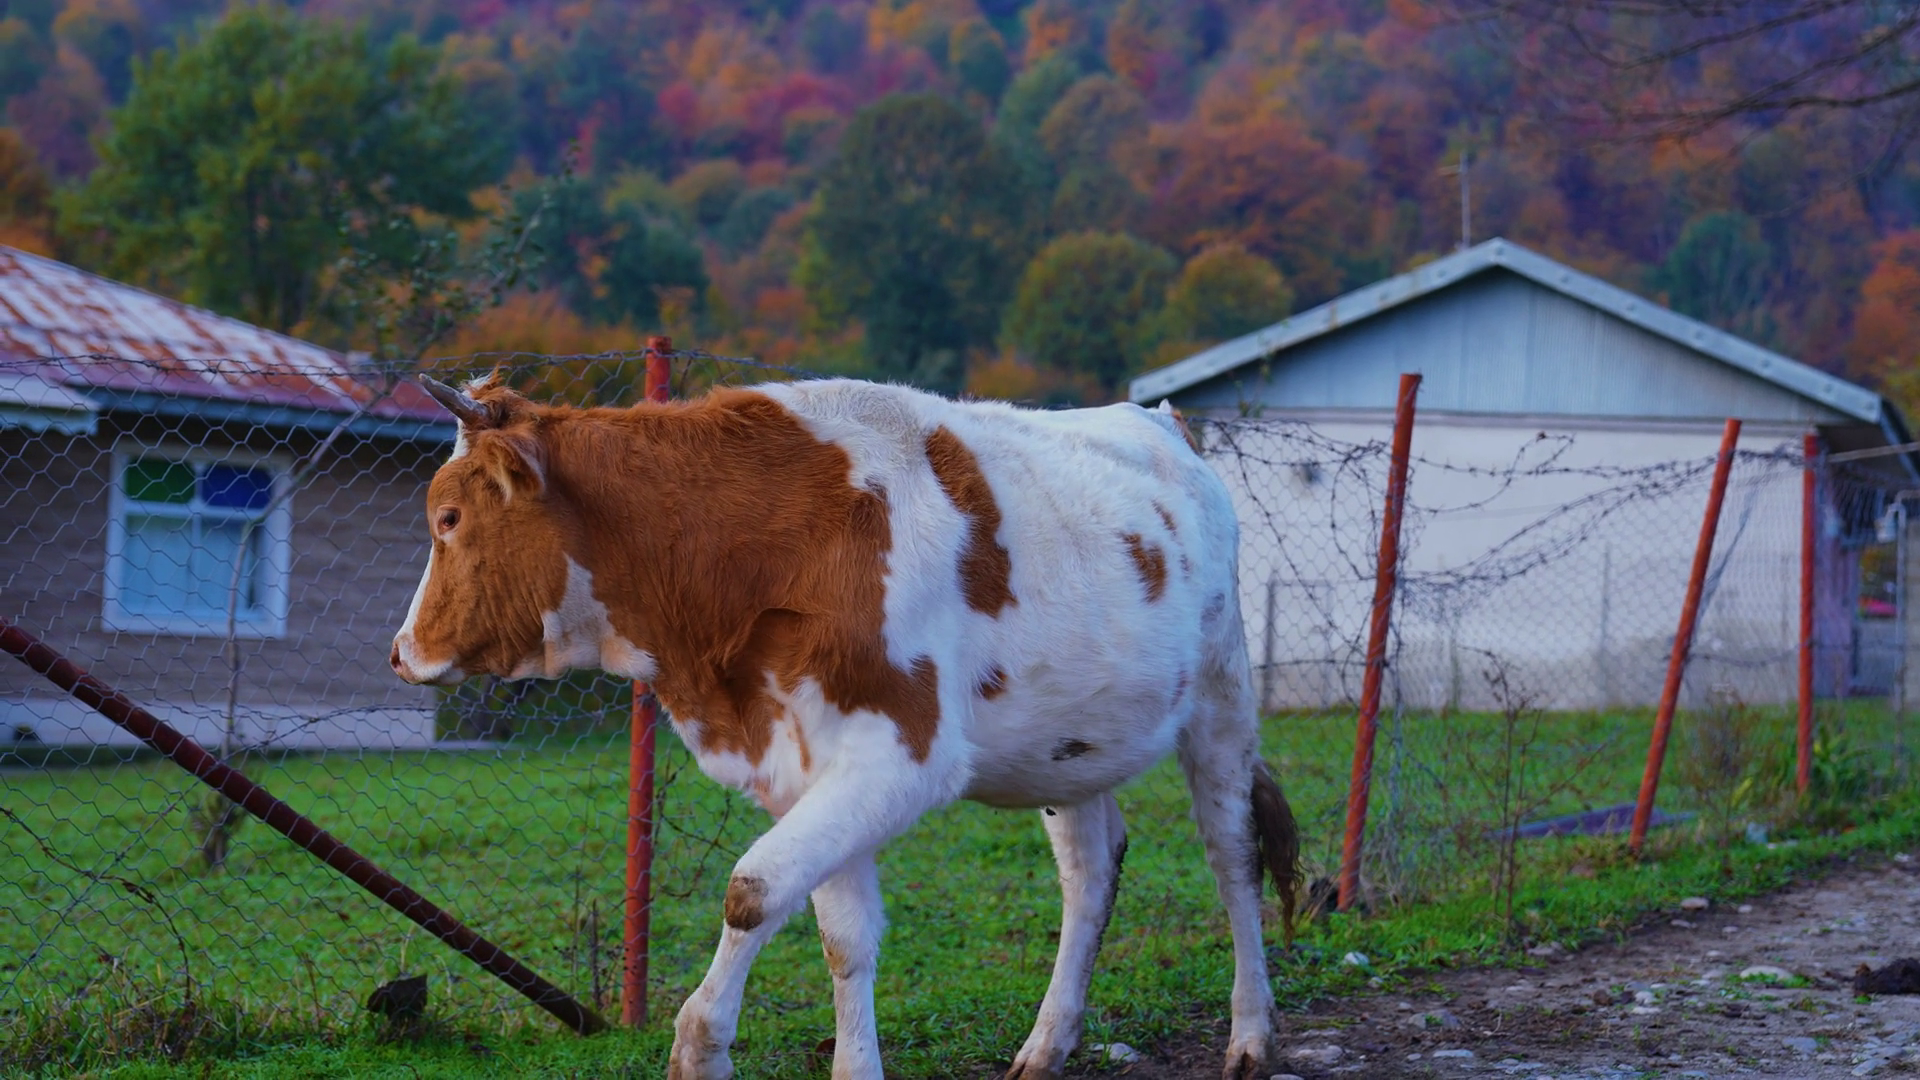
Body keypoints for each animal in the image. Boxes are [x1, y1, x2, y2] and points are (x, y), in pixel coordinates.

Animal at [390, 372, 1300, 1080]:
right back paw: (1047, 1044)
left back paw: (1251, 1035)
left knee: (1233, 856)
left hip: (1221, 700)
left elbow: (752, 891)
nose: (400, 653)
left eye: (448, 519)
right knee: (1090, 872)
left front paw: (701, 1044)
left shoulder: (904, 755)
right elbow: (841, 935)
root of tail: (1159, 419)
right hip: (1071, 746)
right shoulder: (805, 765)